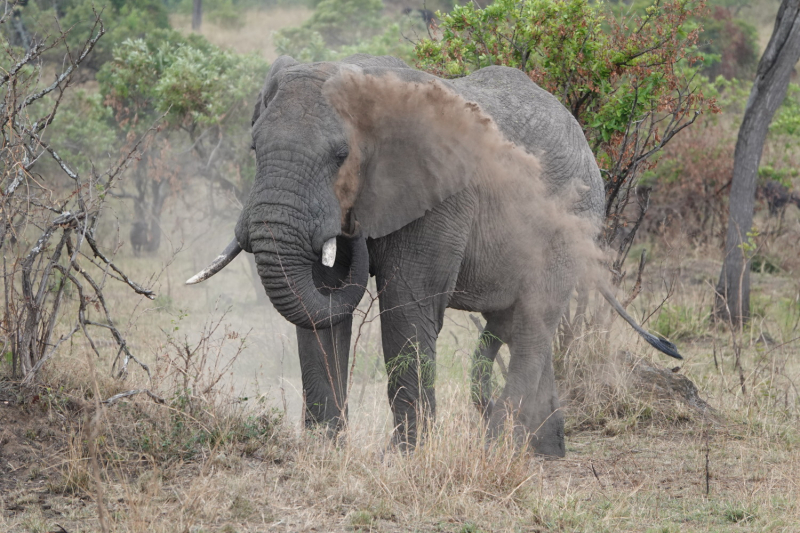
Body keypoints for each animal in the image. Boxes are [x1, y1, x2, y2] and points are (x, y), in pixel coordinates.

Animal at [188, 54, 680, 456]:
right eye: (254, 147)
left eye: (341, 155)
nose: (352, 229)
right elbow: (320, 309)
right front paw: (323, 451)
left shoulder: (442, 195)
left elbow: (407, 306)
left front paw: (403, 457)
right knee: (522, 326)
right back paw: (544, 451)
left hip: (572, 219)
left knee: (533, 322)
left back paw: (499, 448)